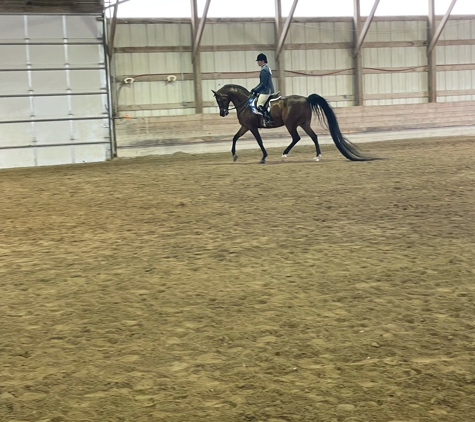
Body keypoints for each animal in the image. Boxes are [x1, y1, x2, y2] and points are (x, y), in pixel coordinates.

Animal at [213, 83, 380, 163]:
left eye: (220, 100)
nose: (222, 113)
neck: (245, 104)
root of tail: (306, 98)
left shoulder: (252, 127)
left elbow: (259, 142)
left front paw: (263, 157)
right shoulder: (245, 126)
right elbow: (234, 138)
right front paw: (234, 156)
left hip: (291, 124)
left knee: (296, 138)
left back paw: (284, 155)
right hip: (304, 124)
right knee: (313, 137)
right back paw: (317, 156)